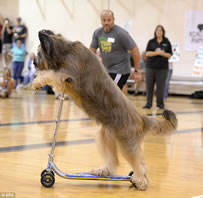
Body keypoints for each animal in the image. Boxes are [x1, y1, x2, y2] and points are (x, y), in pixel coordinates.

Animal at [32, 29, 177, 190]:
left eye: (39, 52)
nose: (33, 62)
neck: (65, 51)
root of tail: (141, 118)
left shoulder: (68, 75)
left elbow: (51, 73)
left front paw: (37, 81)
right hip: (107, 136)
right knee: (113, 159)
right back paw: (104, 171)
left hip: (127, 142)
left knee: (140, 164)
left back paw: (140, 181)